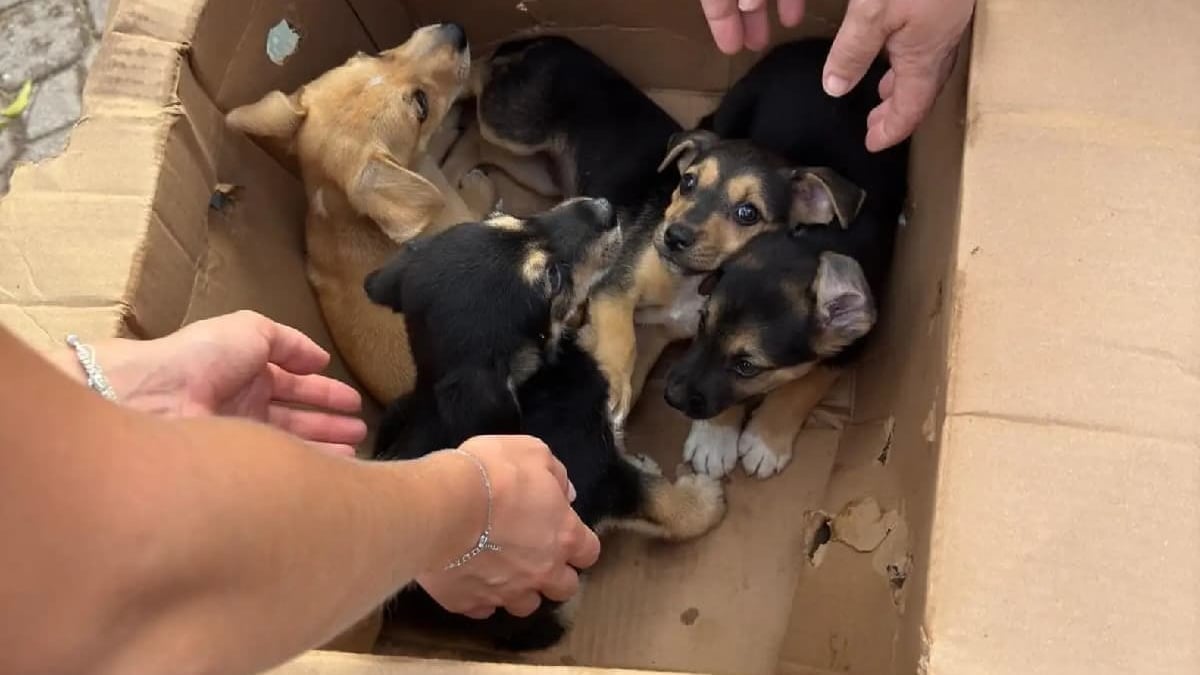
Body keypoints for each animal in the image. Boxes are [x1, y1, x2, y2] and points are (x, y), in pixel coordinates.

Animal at [364, 196, 724, 648]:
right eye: (551, 278)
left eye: (501, 218)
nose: (603, 207)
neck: (536, 382)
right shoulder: (600, 478)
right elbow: (664, 502)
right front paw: (705, 498)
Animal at [472, 35, 859, 420]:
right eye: (687, 182)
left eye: (748, 213)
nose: (673, 236)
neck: (690, 279)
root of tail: (546, 41)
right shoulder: (615, 288)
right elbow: (622, 339)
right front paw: (613, 384)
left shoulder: (660, 330)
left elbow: (638, 365)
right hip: (512, 126)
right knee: (478, 79)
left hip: (532, 170)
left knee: (484, 144)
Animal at [667, 38, 907, 478]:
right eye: (701, 322)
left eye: (748, 367)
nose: (671, 398)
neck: (810, 240)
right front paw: (715, 437)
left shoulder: (854, 345)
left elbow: (806, 382)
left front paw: (765, 439)